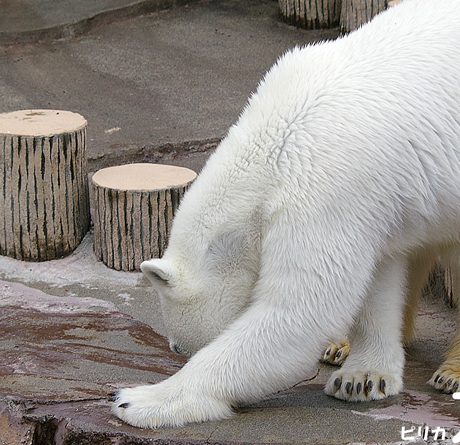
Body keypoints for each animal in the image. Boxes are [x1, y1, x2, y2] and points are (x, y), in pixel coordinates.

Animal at [109, 0, 460, 428]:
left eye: (179, 346)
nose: (177, 348)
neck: (274, 144)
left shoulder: (324, 190)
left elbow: (300, 309)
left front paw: (136, 399)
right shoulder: (372, 201)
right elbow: (378, 276)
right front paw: (363, 377)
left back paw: (452, 372)